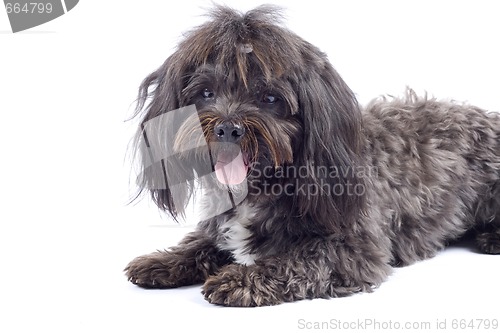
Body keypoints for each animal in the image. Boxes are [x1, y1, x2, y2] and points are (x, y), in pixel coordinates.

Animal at [123, 5, 498, 306]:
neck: (266, 186)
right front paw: (164, 261)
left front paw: (240, 278)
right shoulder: (220, 225)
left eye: (269, 98)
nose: (228, 128)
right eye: (206, 93)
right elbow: (200, 241)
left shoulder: (355, 249)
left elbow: (297, 260)